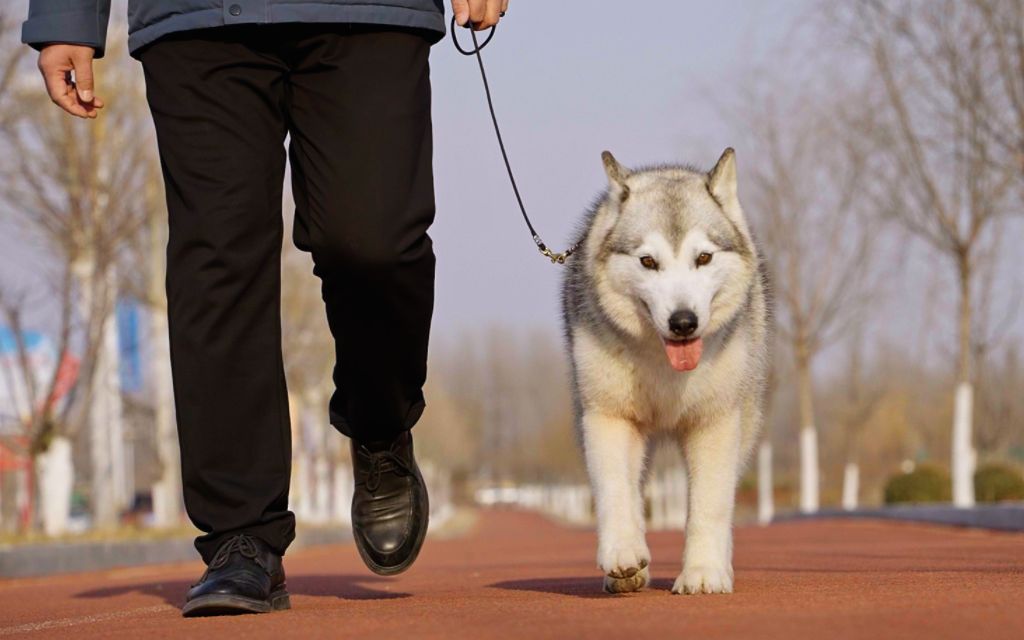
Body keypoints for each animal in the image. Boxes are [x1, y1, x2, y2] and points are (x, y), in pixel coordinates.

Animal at [561, 148, 770, 593]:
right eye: (648, 261)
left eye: (703, 257)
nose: (684, 322)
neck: (662, 363)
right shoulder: (607, 416)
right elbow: (615, 490)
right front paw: (622, 555)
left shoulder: (715, 422)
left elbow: (709, 505)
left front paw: (703, 573)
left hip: (745, 420)